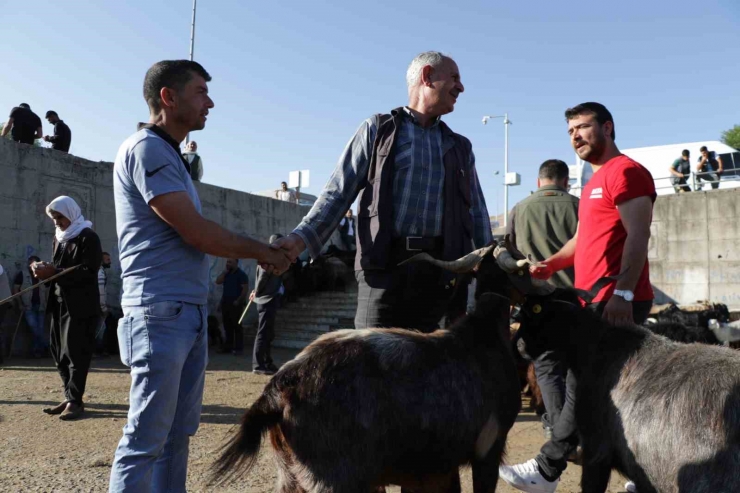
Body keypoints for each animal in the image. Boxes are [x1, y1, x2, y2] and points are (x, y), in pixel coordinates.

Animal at [212, 246, 528, 492]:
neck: (483, 333)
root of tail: (281, 385)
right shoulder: (489, 447)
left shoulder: (441, 465)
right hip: (334, 480)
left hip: (289, 474)